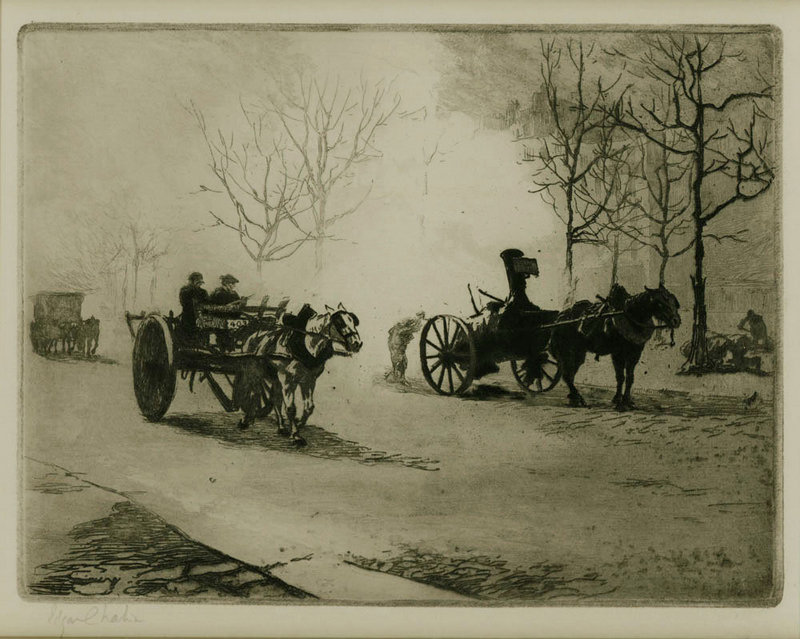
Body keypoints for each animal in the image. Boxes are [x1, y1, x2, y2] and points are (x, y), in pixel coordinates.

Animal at [552, 284, 680, 410]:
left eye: (674, 301)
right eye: (660, 302)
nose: (676, 320)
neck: (631, 317)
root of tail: (559, 319)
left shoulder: (635, 354)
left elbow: (630, 377)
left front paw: (627, 401)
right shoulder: (617, 354)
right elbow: (620, 377)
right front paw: (618, 400)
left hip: (579, 352)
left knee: (570, 373)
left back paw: (574, 399)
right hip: (568, 350)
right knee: (567, 375)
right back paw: (578, 398)